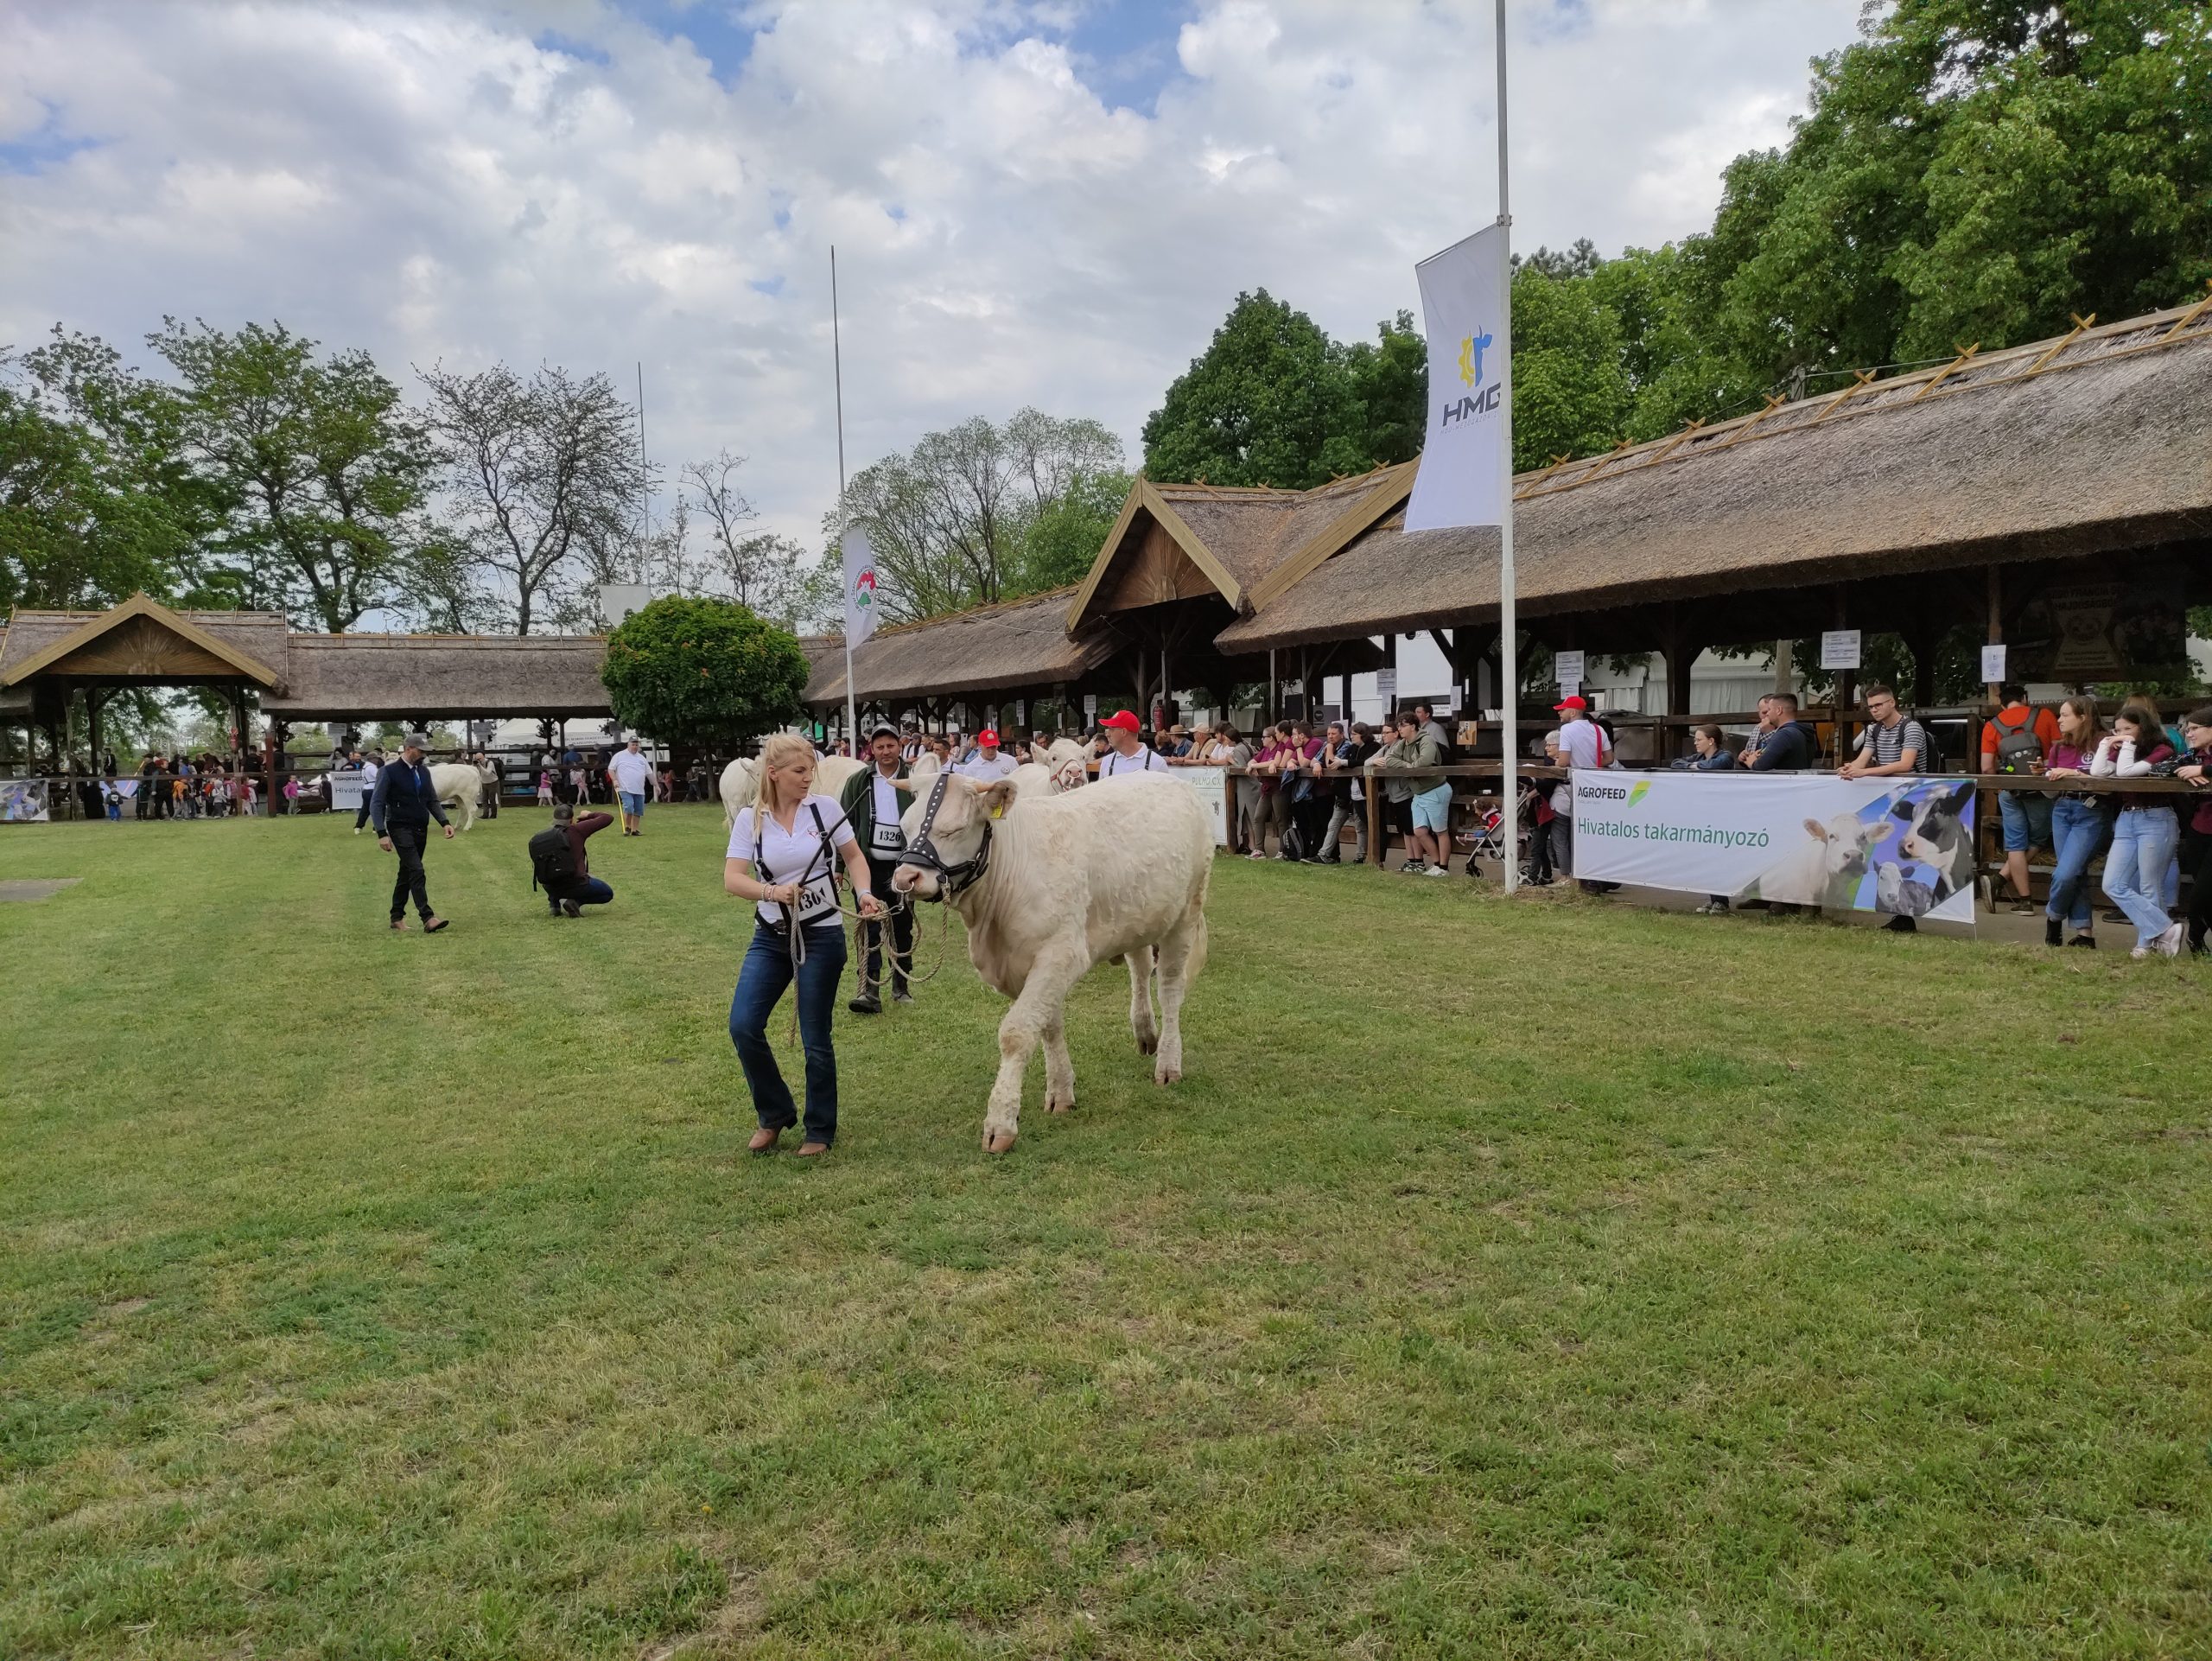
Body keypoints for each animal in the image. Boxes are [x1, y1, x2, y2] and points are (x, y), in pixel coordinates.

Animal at [889, 769, 1221, 1149]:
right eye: (904, 827)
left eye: (953, 829)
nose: (905, 878)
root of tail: (1171, 779)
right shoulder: (1027, 964)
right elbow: (1048, 1025)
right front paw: (1060, 1092)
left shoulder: (1060, 953)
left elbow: (1017, 1033)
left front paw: (1000, 1124)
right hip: (1138, 916)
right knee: (1139, 968)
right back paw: (1145, 1032)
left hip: (1186, 914)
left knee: (1170, 989)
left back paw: (1168, 1064)